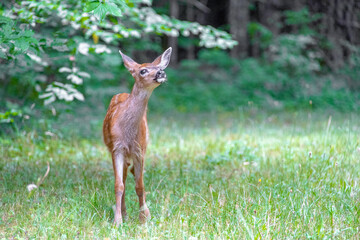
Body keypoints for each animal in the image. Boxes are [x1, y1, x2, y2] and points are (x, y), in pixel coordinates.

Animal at [103, 47, 172, 225]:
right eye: (143, 70)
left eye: (158, 67)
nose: (161, 72)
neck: (127, 132)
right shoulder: (117, 148)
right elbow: (118, 185)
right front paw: (118, 220)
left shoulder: (139, 149)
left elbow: (140, 186)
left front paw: (144, 218)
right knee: (124, 178)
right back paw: (124, 213)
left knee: (132, 175)